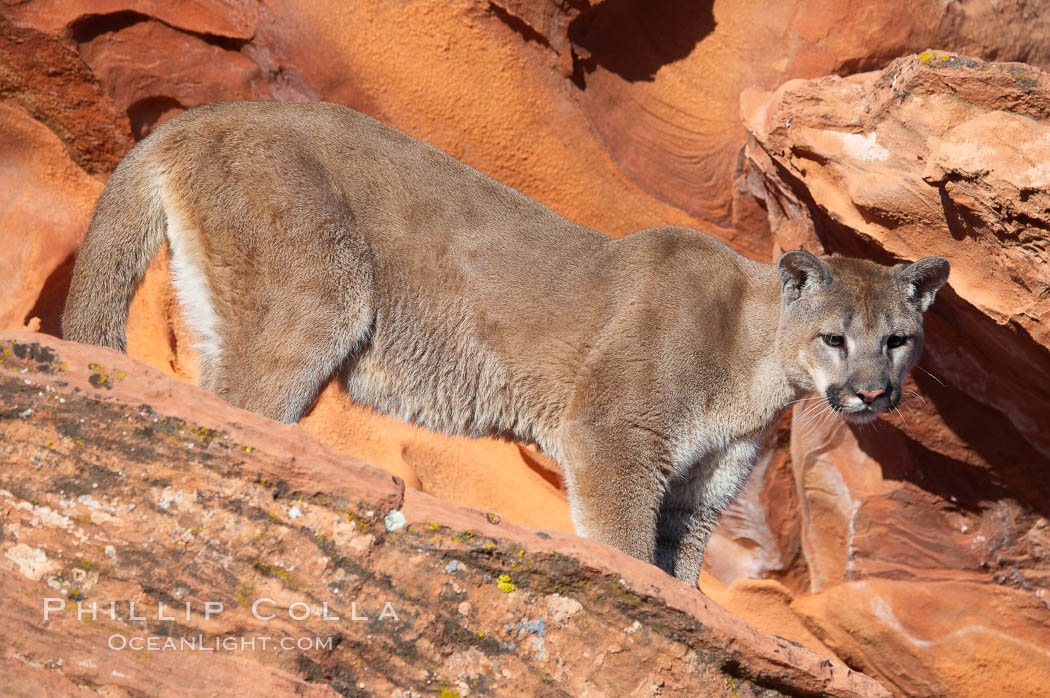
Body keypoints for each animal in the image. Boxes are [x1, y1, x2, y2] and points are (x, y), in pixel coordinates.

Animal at [65, 102, 953, 583]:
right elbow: (626, 551)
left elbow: (679, 577)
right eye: (836, 339)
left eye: (899, 340)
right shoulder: (616, 440)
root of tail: (195, 116)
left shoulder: (698, 494)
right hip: (316, 303)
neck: (759, 361)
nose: (873, 392)